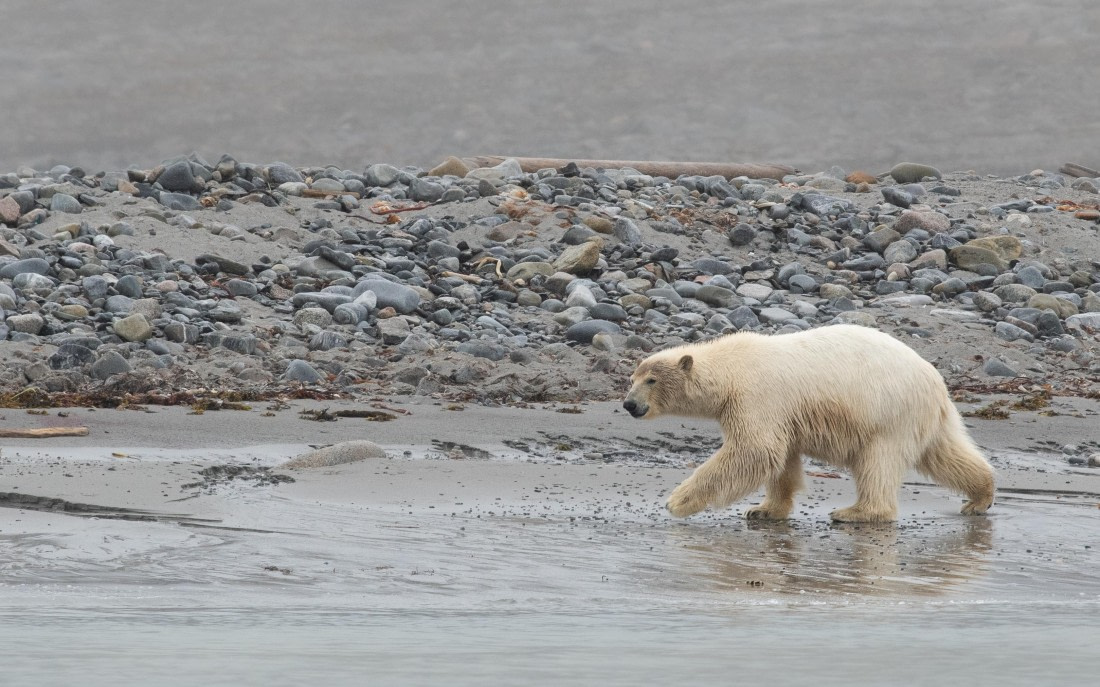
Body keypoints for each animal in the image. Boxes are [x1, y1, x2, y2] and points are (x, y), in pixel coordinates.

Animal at [622, 324, 994, 522]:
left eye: (652, 380)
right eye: (632, 378)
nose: (629, 404)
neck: (732, 368)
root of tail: (936, 381)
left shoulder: (758, 397)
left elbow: (754, 450)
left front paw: (677, 501)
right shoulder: (783, 413)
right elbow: (781, 459)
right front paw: (764, 509)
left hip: (888, 413)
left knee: (878, 462)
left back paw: (854, 512)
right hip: (923, 418)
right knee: (946, 454)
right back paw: (980, 497)